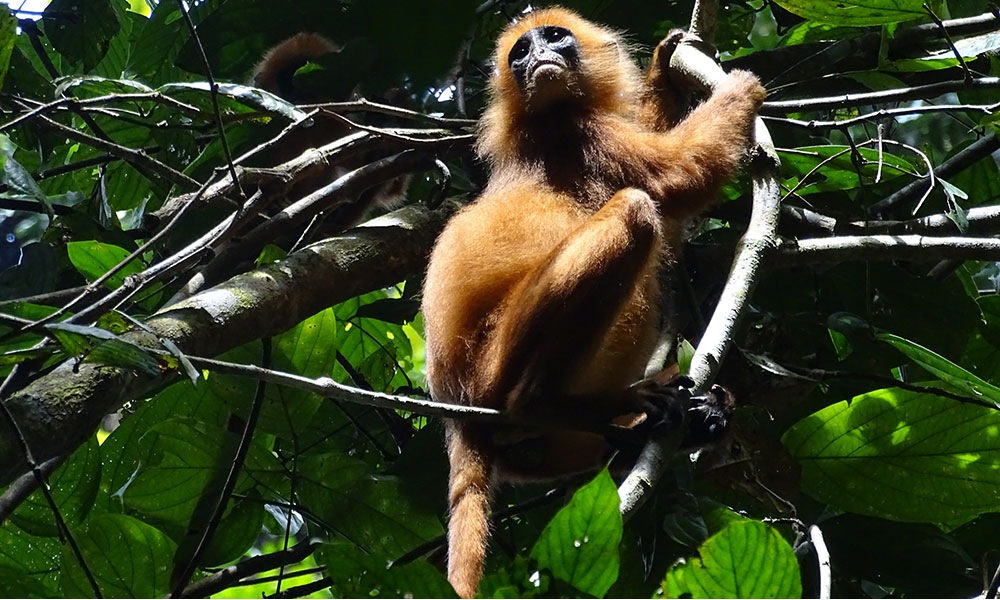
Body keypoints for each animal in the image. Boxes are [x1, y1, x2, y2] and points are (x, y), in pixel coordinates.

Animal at [418, 7, 768, 596]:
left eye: (554, 37)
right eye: (520, 53)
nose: (536, 56)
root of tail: (457, 415)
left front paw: (662, 68)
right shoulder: (578, 134)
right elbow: (677, 179)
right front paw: (740, 91)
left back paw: (674, 420)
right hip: (495, 362)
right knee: (635, 210)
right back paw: (544, 402)